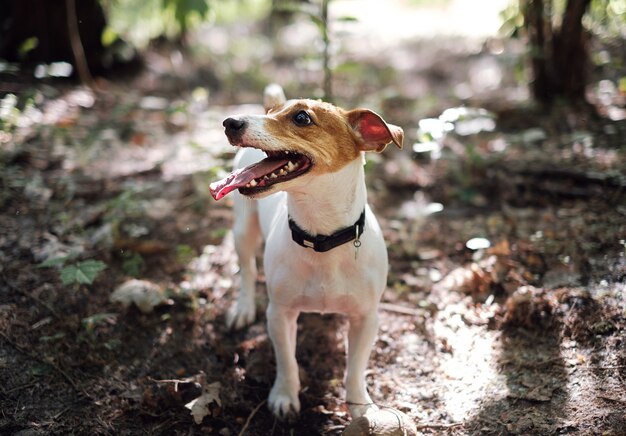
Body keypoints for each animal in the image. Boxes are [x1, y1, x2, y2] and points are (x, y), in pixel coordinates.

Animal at [211, 84, 404, 418]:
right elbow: (287, 361)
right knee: (247, 270)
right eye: (271, 113)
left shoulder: (366, 318)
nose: (230, 122)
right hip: (243, 230)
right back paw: (243, 307)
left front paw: (360, 406)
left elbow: (355, 368)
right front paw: (285, 396)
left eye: (302, 117)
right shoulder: (279, 314)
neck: (321, 238)